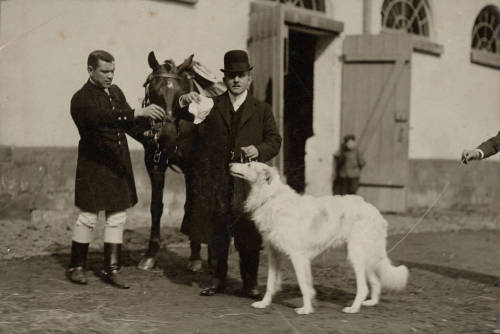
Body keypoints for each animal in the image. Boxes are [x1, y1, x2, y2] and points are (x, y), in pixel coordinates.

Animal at [135, 52, 225, 272]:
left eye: (181, 95)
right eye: (152, 91)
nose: (166, 134)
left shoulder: (194, 167)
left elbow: (192, 206)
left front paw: (195, 256)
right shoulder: (154, 164)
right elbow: (156, 206)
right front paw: (150, 255)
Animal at [229, 163, 408, 314]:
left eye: (249, 164)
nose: (230, 164)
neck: (271, 197)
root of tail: (375, 212)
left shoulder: (297, 256)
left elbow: (303, 285)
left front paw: (306, 309)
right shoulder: (274, 254)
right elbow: (271, 284)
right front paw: (264, 303)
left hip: (356, 255)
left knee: (363, 287)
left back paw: (353, 308)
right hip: (364, 256)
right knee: (376, 282)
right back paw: (371, 302)